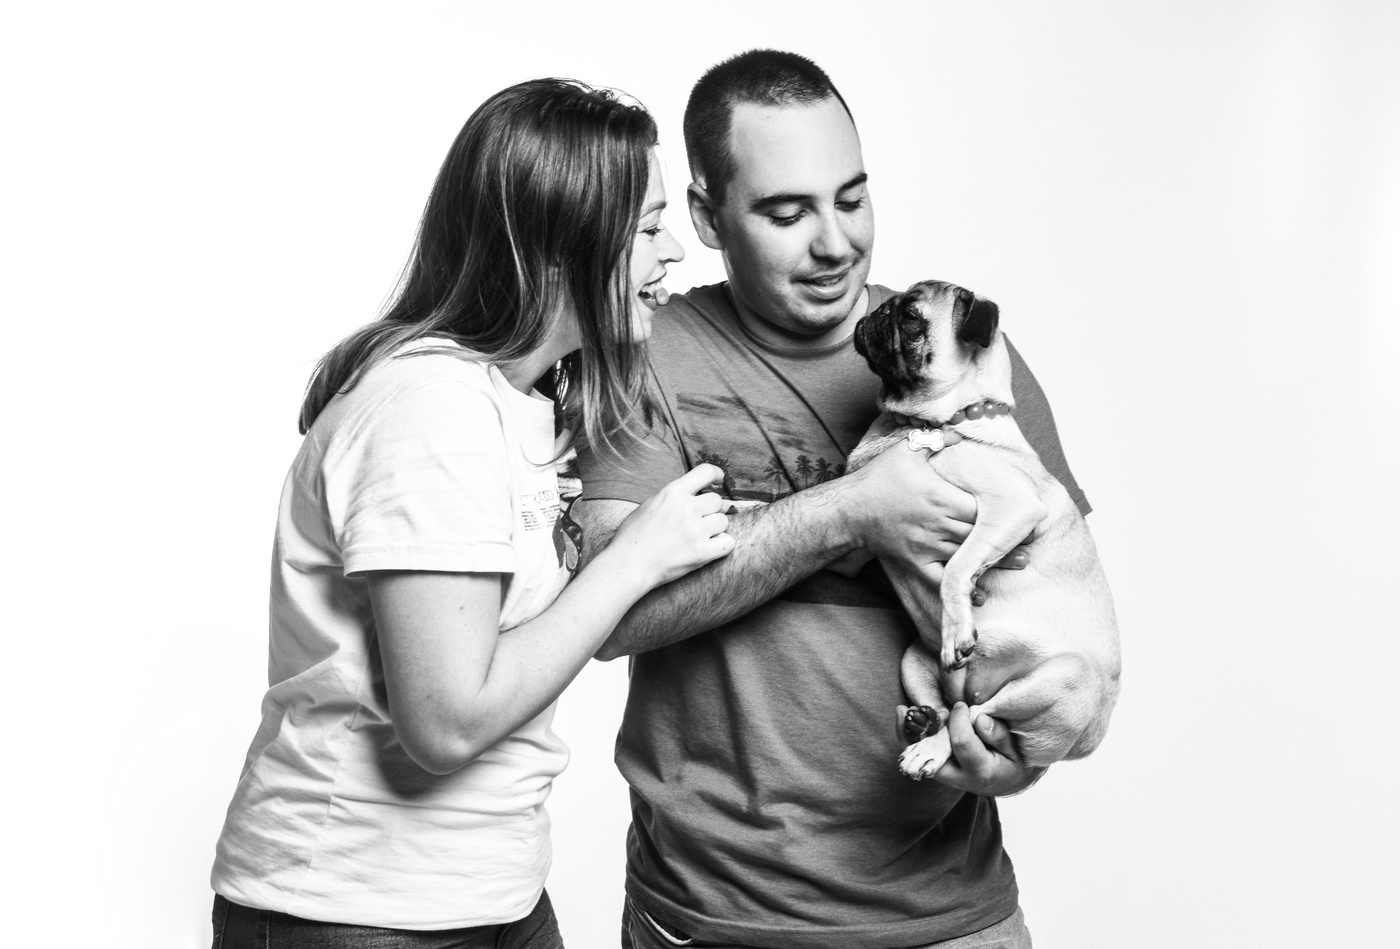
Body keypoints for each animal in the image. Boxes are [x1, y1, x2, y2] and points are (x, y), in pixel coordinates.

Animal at [846, 279, 1120, 780]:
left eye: (910, 315)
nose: (876, 313)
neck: (918, 425)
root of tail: (1082, 744)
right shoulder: (859, 536)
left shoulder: (1013, 508)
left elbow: (957, 567)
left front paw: (958, 627)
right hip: (913, 658)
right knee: (951, 709)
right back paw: (924, 722)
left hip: (1061, 678)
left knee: (975, 718)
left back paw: (931, 746)